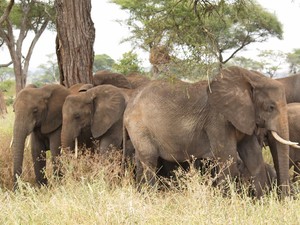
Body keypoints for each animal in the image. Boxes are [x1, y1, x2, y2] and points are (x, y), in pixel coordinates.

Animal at [124, 65, 296, 197]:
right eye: (270, 107)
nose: (283, 200)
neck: (248, 77)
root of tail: (130, 104)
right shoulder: (218, 120)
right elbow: (228, 158)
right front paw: (228, 203)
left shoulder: (244, 116)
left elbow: (254, 158)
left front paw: (261, 202)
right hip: (139, 127)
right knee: (150, 160)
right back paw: (151, 196)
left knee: (141, 160)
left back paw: (141, 194)